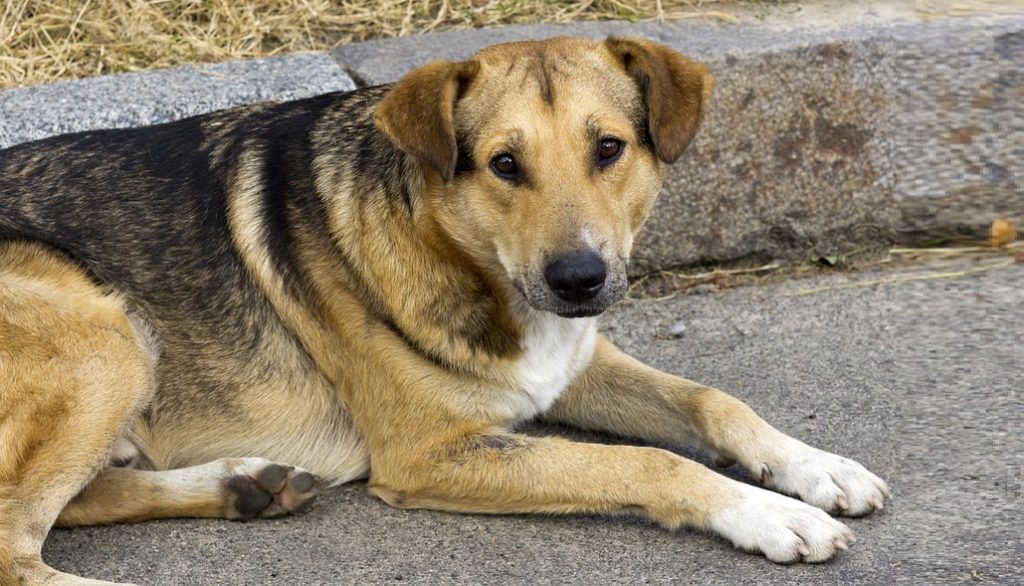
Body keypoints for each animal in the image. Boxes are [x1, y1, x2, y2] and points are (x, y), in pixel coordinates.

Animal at [0, 37, 888, 586]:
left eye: (609, 148)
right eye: (504, 164)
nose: (579, 279)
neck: (464, 259)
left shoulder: (568, 365)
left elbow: (712, 401)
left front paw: (813, 467)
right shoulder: (433, 452)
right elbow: (650, 463)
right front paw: (766, 513)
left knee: (72, 505)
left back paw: (240, 486)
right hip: (104, 336)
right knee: (16, 549)